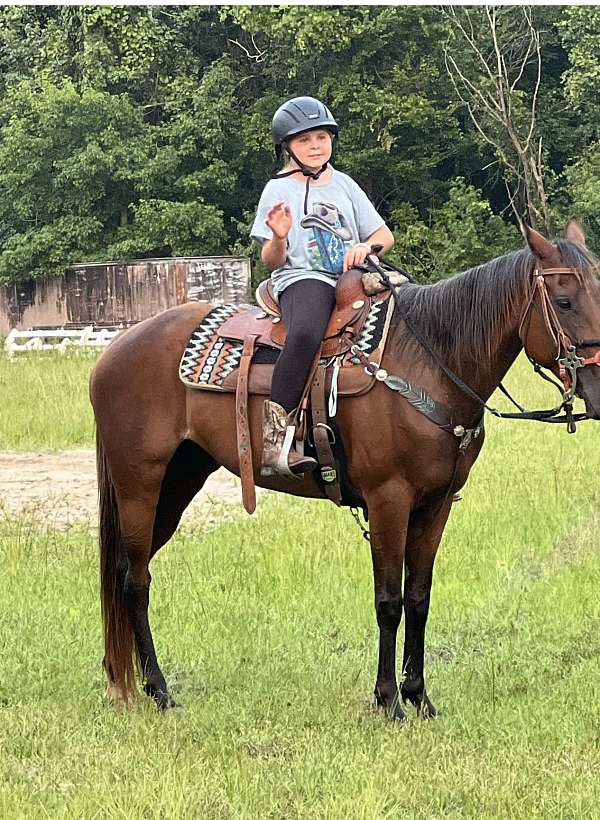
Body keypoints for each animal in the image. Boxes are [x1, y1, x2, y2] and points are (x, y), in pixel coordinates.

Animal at [89, 223, 600, 716]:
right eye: (565, 301)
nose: (597, 389)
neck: (428, 364)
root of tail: (114, 350)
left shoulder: (437, 505)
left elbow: (418, 599)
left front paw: (419, 697)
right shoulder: (389, 500)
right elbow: (389, 601)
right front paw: (388, 700)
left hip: (178, 483)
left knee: (129, 572)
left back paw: (123, 680)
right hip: (140, 485)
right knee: (135, 581)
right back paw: (159, 691)